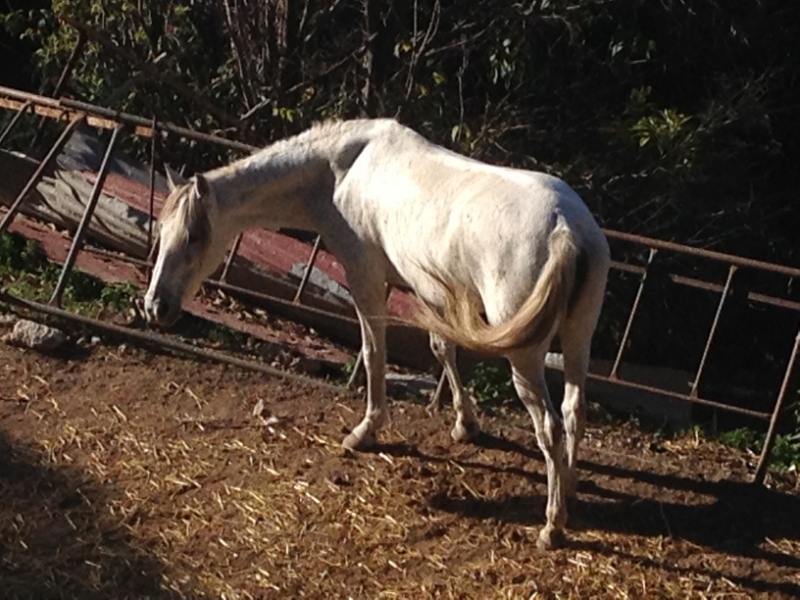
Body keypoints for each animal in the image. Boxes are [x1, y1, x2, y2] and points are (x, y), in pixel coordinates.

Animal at [144, 118, 610, 549]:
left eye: (194, 235)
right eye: (162, 231)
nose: (155, 307)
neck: (341, 169)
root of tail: (565, 227)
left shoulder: (366, 277)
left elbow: (373, 353)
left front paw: (366, 430)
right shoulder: (432, 293)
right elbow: (441, 349)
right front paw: (465, 424)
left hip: (525, 355)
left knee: (549, 425)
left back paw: (552, 526)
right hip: (579, 337)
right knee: (573, 409)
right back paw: (570, 487)